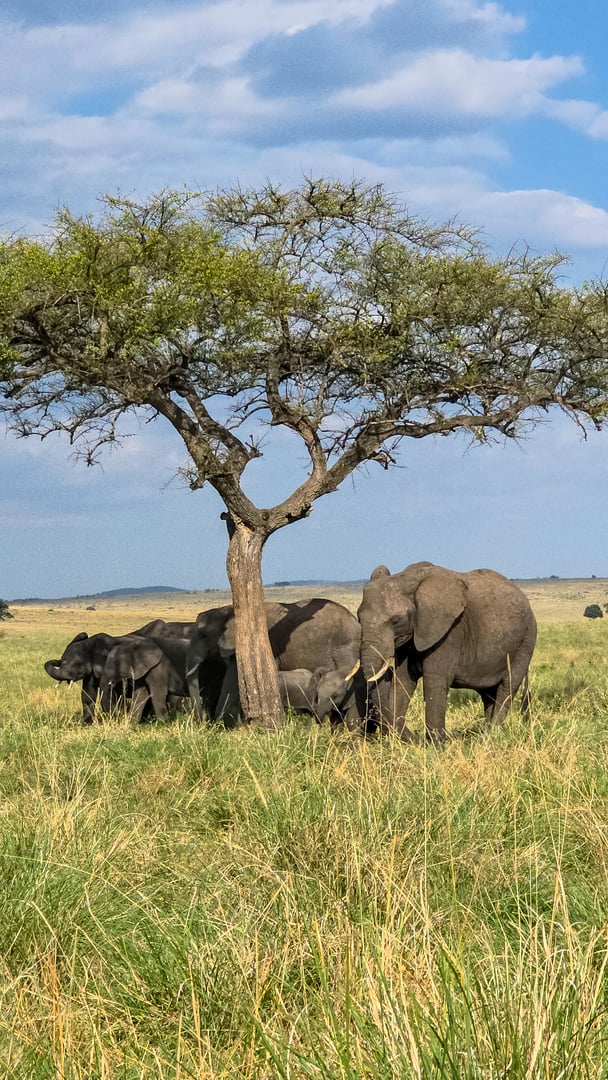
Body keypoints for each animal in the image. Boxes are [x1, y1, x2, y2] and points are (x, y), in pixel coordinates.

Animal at [187, 599, 361, 723]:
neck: (230, 609)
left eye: (204, 635)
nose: (201, 723)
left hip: (344, 650)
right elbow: (230, 682)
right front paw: (220, 725)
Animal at [357, 561, 537, 743]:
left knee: (507, 686)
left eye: (395, 621)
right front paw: (397, 743)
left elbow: (434, 680)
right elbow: (403, 680)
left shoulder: (450, 631)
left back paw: (489, 737)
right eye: (358, 618)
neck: (406, 578)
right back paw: (484, 734)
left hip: (527, 639)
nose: (415, 738)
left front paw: (436, 745)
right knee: (488, 694)